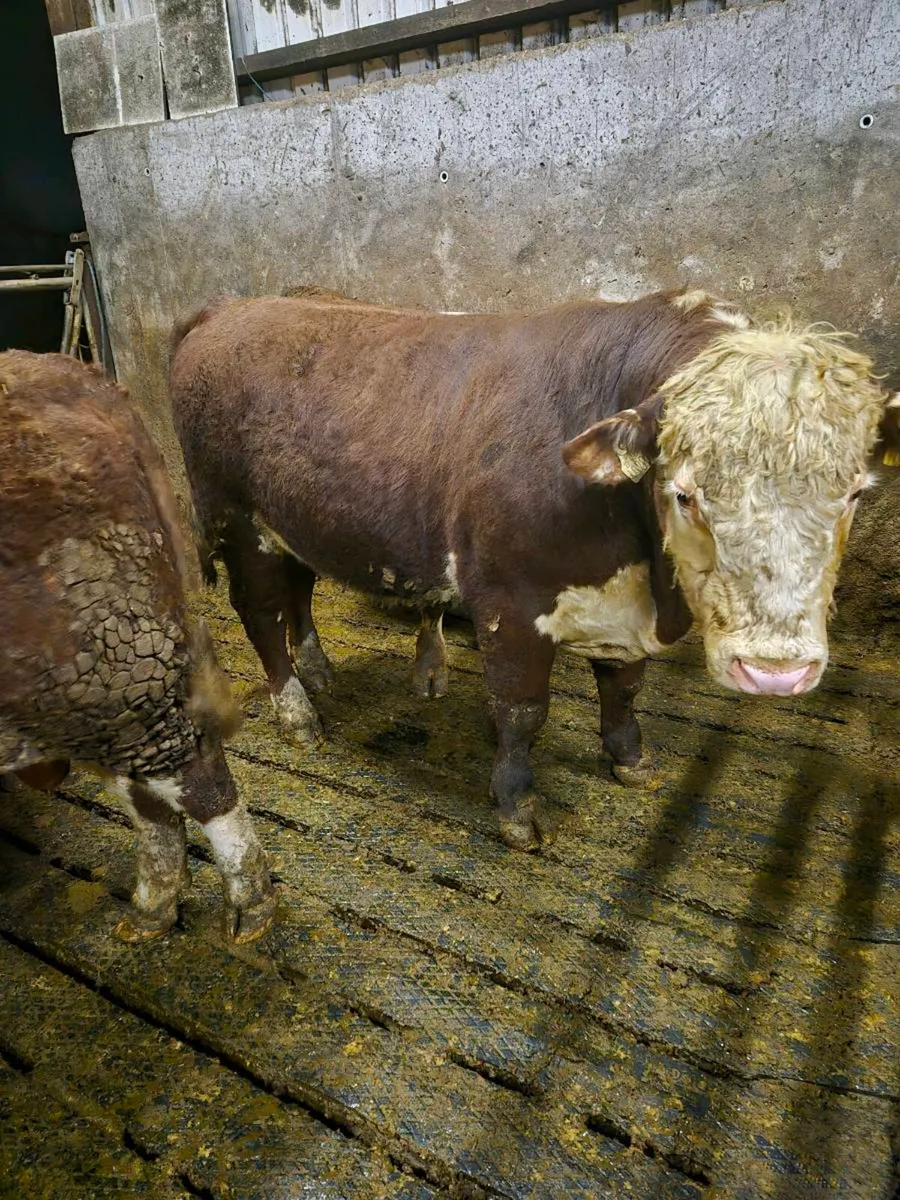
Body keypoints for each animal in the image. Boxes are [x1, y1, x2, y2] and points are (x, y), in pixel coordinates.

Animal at [169, 289, 900, 851]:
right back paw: (298, 712)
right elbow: (522, 713)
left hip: (295, 522)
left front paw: (630, 759)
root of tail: (229, 307)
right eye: (685, 492)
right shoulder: (509, 602)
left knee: (300, 589)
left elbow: (624, 688)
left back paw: (319, 668)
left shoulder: (624, 608)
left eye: (855, 492)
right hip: (234, 518)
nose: (775, 670)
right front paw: (517, 808)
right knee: (260, 615)